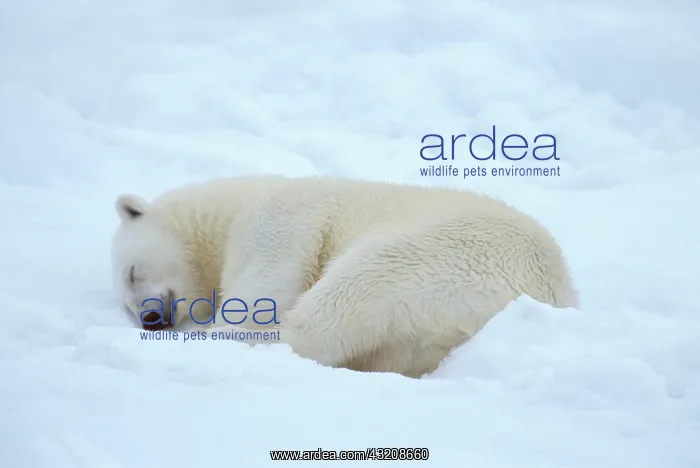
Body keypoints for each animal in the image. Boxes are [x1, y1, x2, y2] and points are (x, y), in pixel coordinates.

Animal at [111, 174, 578, 378]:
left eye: (132, 273)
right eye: (127, 305)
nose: (151, 320)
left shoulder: (280, 217)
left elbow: (265, 285)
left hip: (450, 252)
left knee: (346, 296)